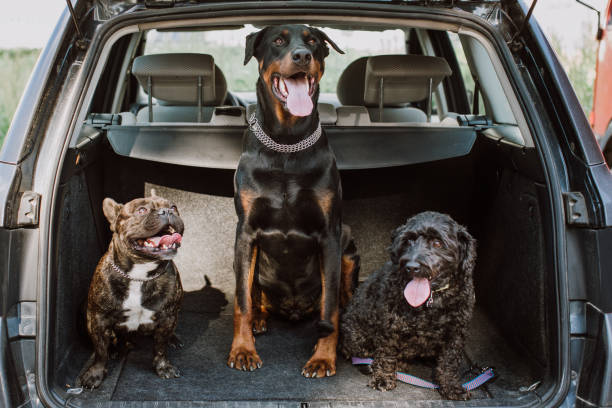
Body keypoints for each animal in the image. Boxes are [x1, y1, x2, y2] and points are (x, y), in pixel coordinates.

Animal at [340, 212, 478, 400]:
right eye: (407, 241)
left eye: (437, 243)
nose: (412, 267)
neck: (431, 300)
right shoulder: (390, 328)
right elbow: (386, 354)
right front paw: (383, 378)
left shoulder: (456, 333)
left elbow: (449, 361)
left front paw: (451, 386)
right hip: (356, 335)